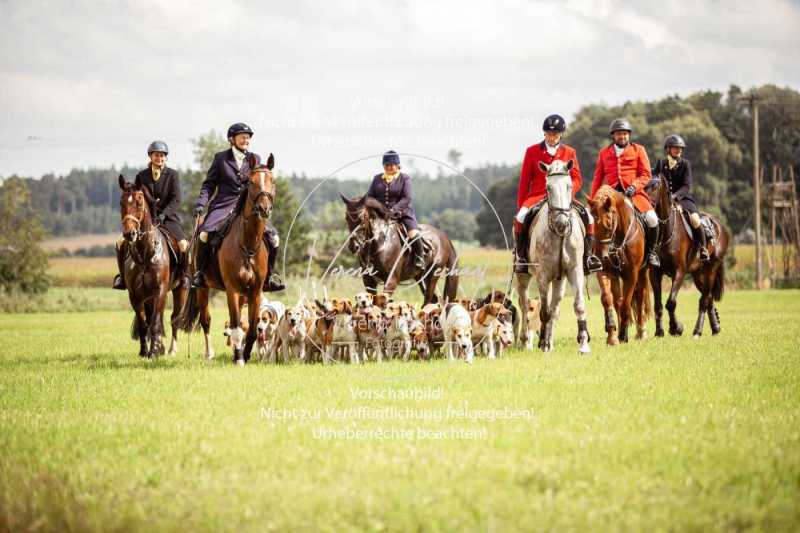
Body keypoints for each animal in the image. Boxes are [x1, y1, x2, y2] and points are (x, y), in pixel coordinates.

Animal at [116, 176, 187, 358]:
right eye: (121, 202)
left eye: (139, 202)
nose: (129, 234)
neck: (145, 253)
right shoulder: (135, 295)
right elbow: (143, 324)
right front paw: (144, 351)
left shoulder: (160, 290)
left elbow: (155, 322)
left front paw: (153, 352)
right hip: (148, 297)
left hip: (179, 291)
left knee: (174, 319)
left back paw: (170, 349)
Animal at [177, 152, 276, 364]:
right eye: (251, 182)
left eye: (272, 181)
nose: (264, 209)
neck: (248, 244)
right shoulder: (232, 290)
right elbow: (236, 327)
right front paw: (239, 359)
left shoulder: (255, 292)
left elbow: (252, 329)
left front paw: (244, 355)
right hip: (203, 287)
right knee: (206, 320)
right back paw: (209, 354)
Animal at [584, 186, 652, 344]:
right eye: (591, 226)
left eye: (608, 224)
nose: (598, 256)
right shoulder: (605, 271)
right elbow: (607, 299)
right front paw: (612, 335)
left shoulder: (631, 275)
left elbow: (626, 304)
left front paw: (623, 335)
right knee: (618, 301)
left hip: (643, 272)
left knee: (640, 297)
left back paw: (641, 332)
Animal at [648, 174, 732, 336]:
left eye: (654, 187)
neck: (666, 232)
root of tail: (720, 226)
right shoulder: (654, 273)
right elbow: (658, 305)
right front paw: (659, 332)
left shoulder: (679, 272)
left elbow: (670, 302)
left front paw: (676, 328)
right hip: (698, 274)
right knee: (708, 298)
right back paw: (715, 327)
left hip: (711, 270)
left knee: (704, 301)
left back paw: (697, 331)